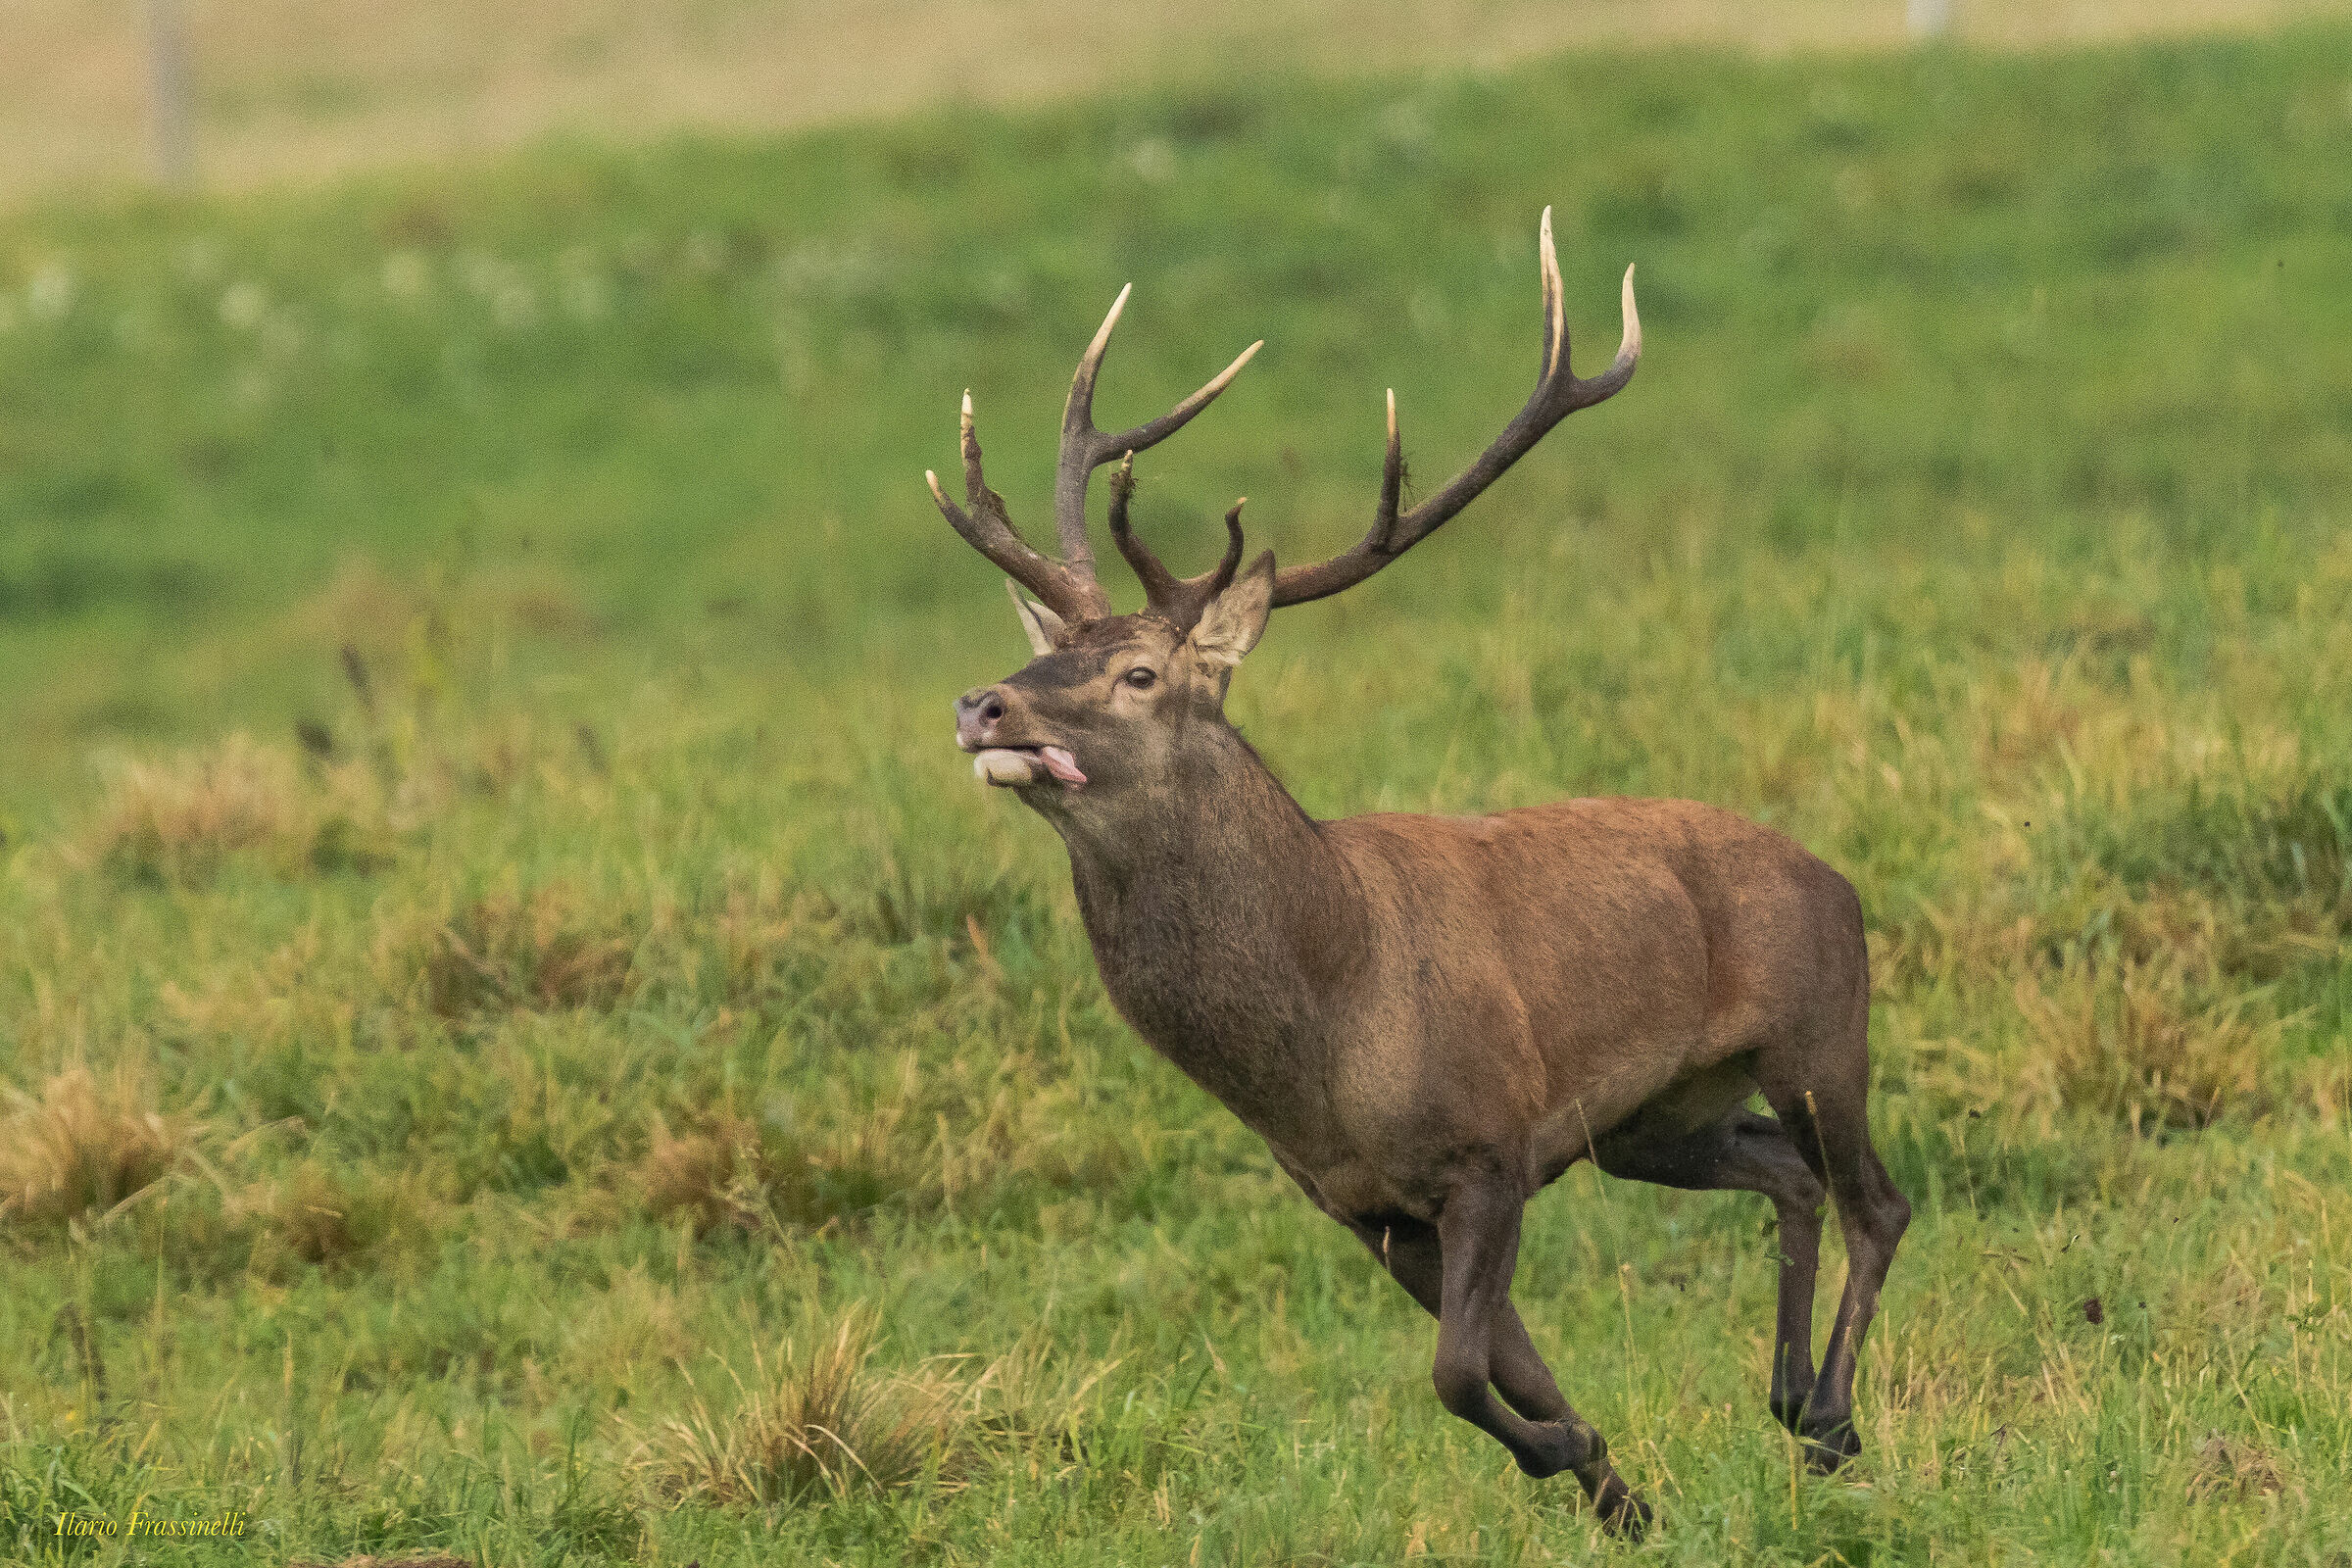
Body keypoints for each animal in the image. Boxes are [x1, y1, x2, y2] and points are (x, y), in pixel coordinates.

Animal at [925, 210, 1910, 1536]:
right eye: (1048, 651)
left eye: (1139, 673)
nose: (985, 703)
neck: (1323, 1040)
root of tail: (1839, 881)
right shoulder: (1362, 1206)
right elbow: (1506, 1361)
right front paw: (1616, 1490)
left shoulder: (1488, 1146)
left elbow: (1456, 1368)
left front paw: (1574, 1457)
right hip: (1656, 1118)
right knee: (1787, 1177)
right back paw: (1792, 1399)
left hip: (1819, 1029)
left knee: (1874, 1198)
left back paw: (1837, 1421)